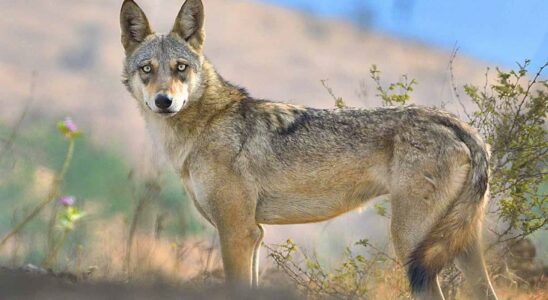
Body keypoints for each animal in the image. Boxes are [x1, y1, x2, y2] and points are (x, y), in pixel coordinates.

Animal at [122, 1, 498, 298]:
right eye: (147, 69)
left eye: (180, 68)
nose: (164, 101)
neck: (205, 124)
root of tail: (461, 127)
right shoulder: (255, 235)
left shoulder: (237, 232)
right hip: (458, 244)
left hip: (411, 244)